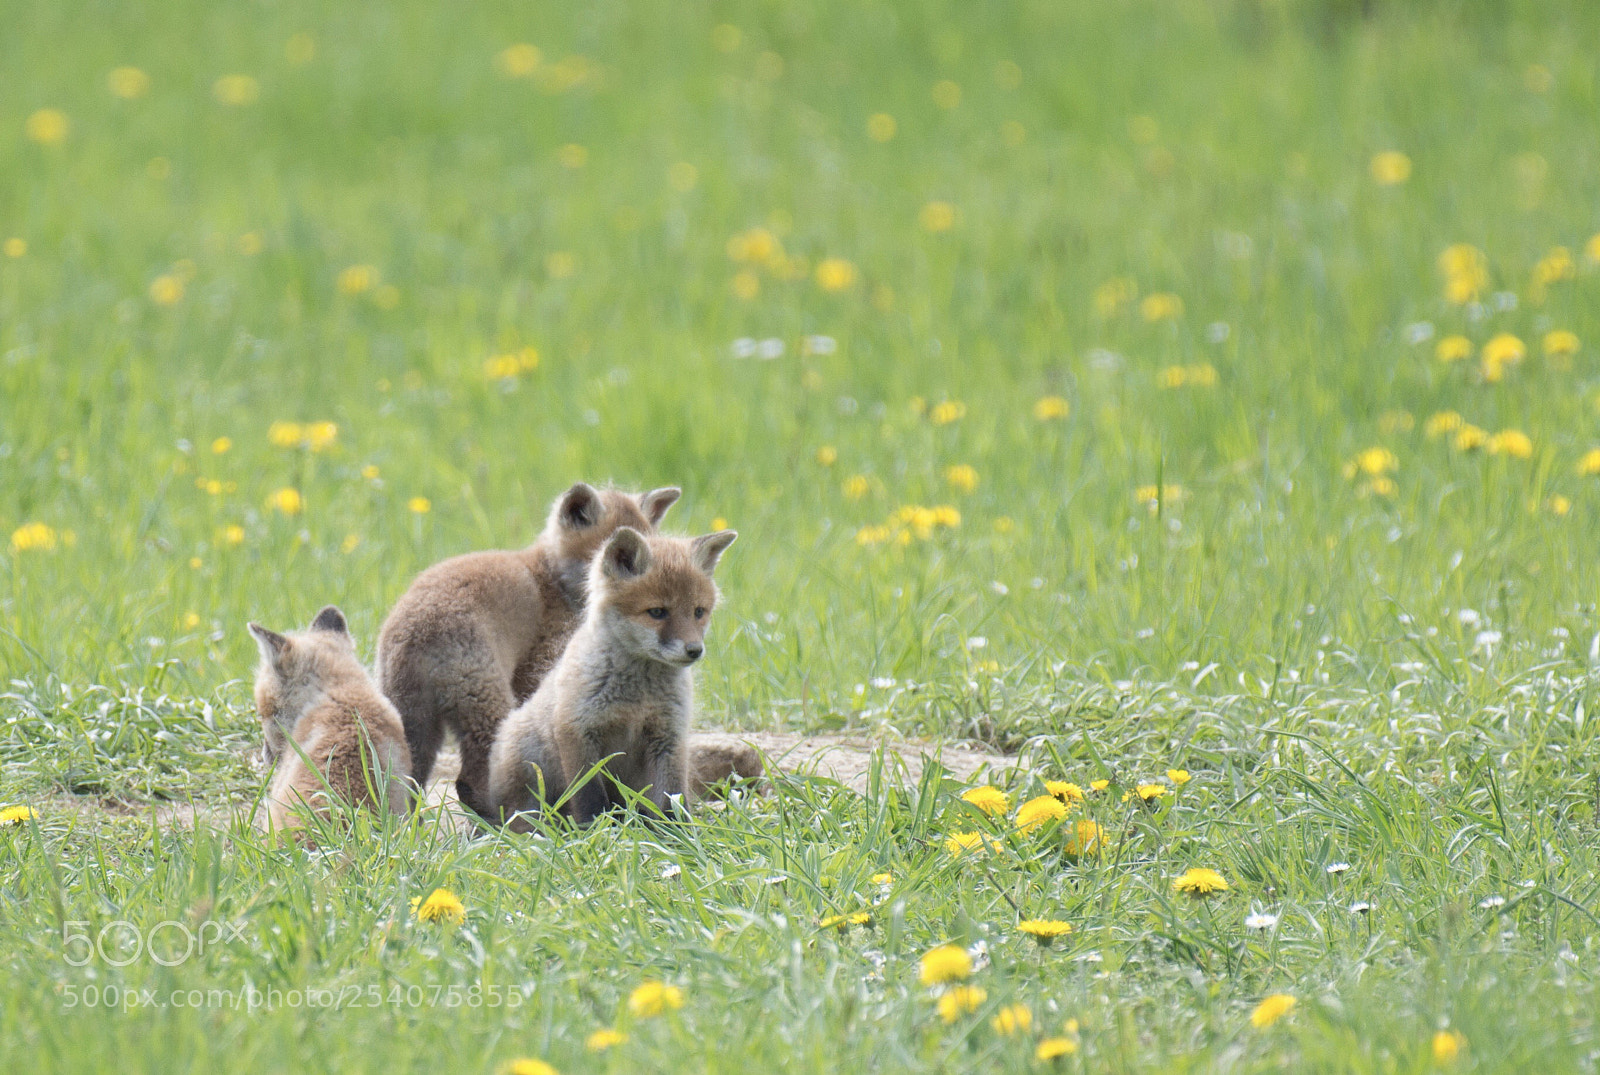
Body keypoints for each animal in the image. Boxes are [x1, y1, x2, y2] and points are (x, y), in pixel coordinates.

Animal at [376, 482, 682, 819]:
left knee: (407, 781)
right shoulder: (541, 662)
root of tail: (418, 632)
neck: (551, 578)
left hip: (413, 718)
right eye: (618, 554)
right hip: (486, 706)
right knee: (470, 780)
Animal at [487, 525, 738, 827]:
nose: (694, 650)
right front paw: (595, 830)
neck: (637, 698)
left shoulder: (669, 736)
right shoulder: (577, 730)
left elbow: (672, 799)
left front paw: (678, 834)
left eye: (698, 612)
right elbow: (589, 796)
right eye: (657, 612)